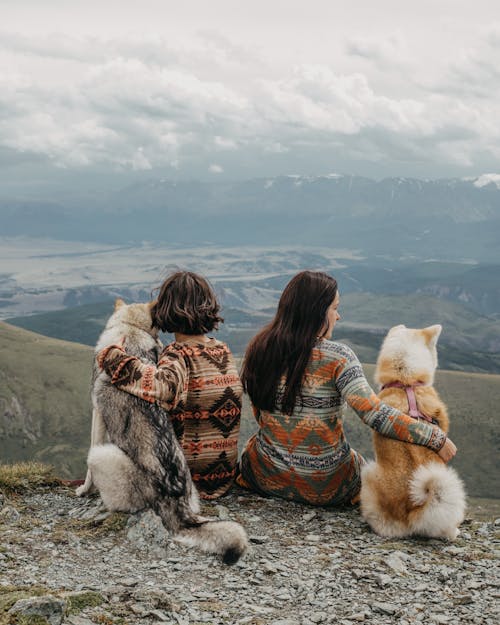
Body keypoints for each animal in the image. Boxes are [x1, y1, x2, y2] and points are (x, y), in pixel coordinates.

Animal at [76, 298, 248, 564]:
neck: (131, 329)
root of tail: (177, 502)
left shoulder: (97, 415)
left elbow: (87, 473)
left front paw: (83, 490)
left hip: (101, 455)